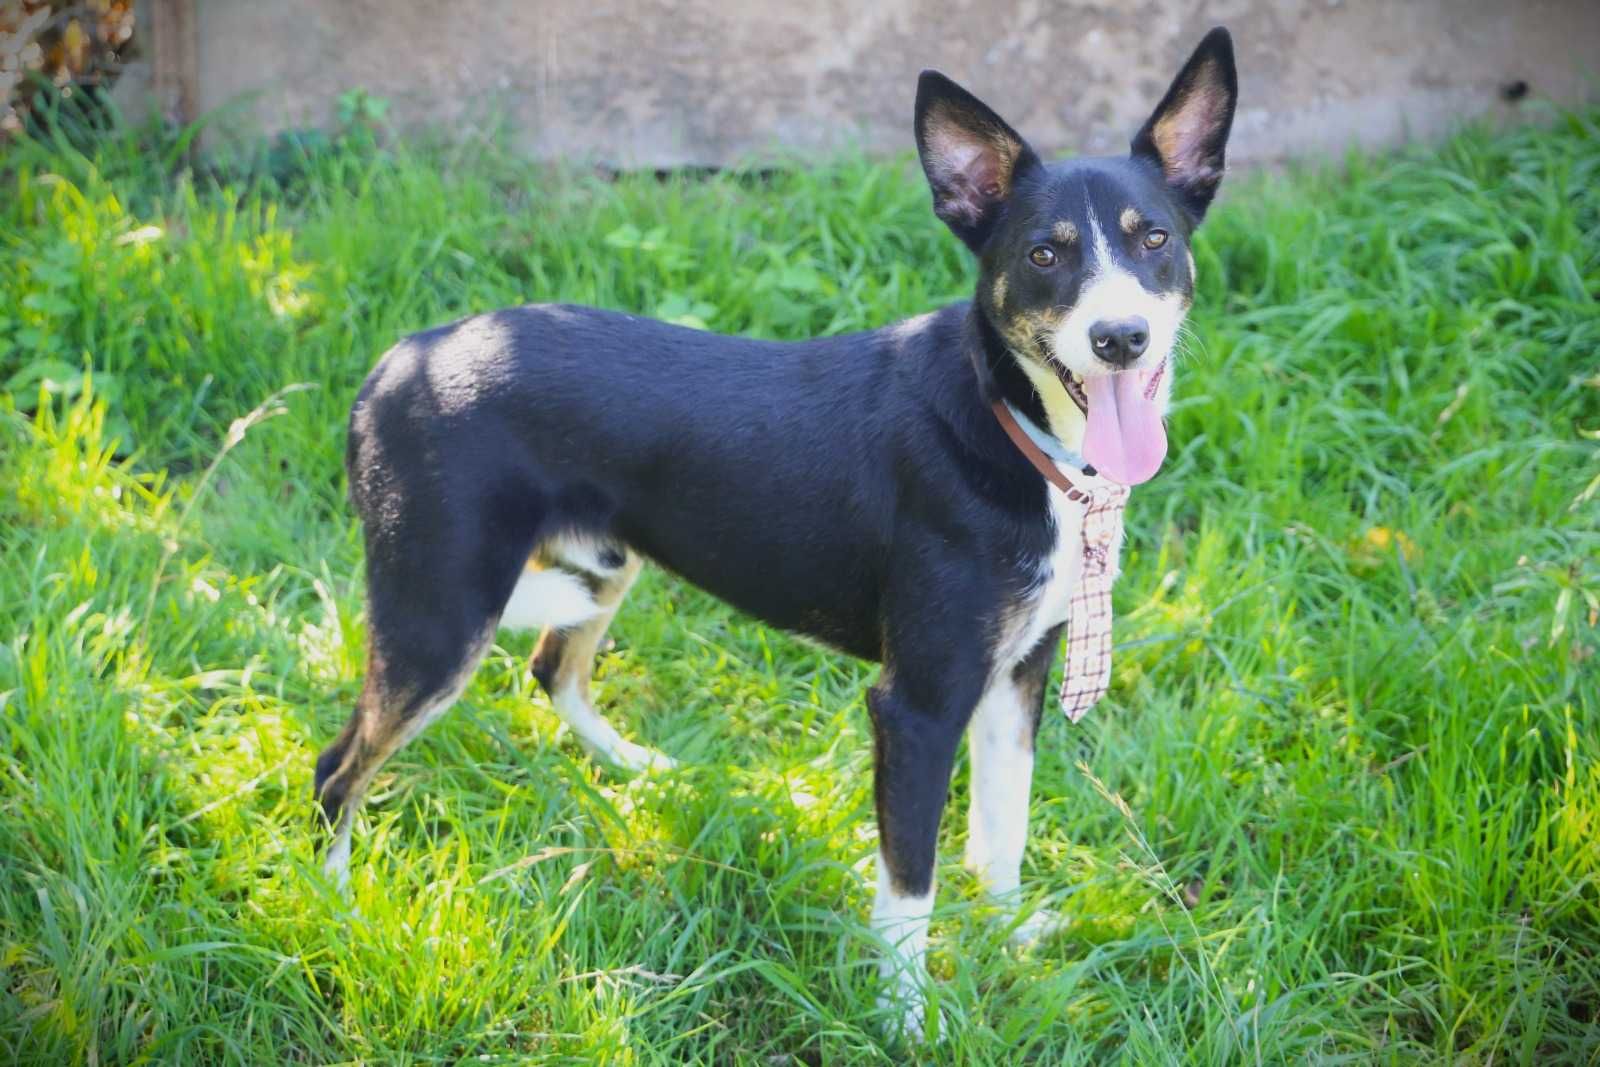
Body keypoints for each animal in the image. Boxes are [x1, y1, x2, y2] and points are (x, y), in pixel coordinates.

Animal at [312, 27, 1235, 1043]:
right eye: (1043, 254)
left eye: (1155, 239)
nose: (1122, 338)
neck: (1006, 422)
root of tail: (401, 360)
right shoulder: (917, 706)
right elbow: (908, 890)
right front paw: (906, 1021)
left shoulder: (1017, 675)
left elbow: (1004, 835)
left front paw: (1007, 945)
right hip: (438, 615)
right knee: (337, 770)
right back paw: (339, 912)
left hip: (603, 561)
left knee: (553, 666)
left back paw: (637, 768)